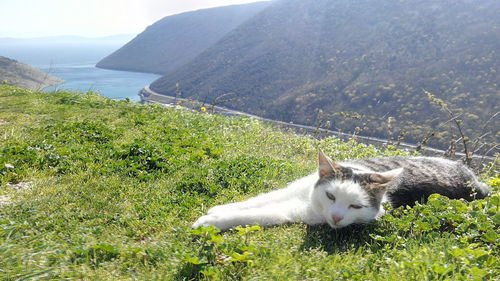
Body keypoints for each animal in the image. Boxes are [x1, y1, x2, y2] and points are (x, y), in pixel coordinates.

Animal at [193, 151, 490, 230]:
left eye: (356, 207)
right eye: (331, 195)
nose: (336, 218)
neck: (310, 200)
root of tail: (475, 182)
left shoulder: (296, 211)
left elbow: (259, 213)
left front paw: (211, 221)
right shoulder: (295, 189)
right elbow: (261, 198)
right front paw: (221, 208)